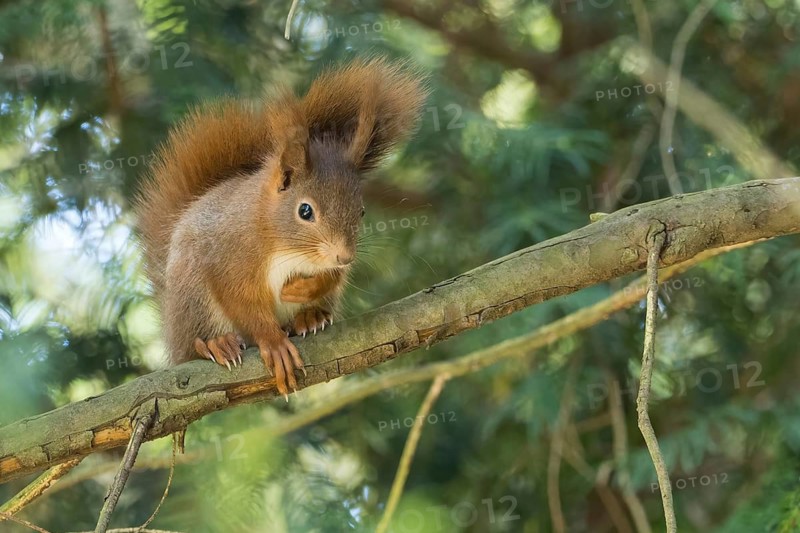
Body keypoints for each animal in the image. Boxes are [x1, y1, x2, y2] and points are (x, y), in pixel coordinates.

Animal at [135, 58, 427, 398]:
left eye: (362, 211)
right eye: (305, 210)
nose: (345, 256)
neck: (282, 242)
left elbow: (333, 278)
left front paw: (303, 289)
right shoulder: (230, 259)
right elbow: (242, 302)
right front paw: (273, 343)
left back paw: (310, 316)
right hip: (193, 296)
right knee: (194, 344)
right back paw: (215, 344)